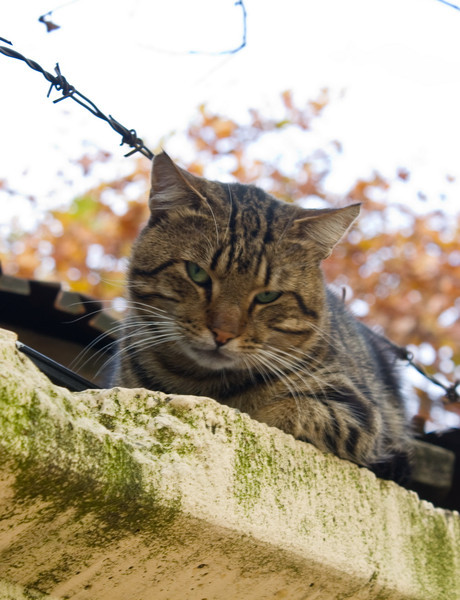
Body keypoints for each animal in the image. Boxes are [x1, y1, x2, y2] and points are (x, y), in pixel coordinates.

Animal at [113, 151, 412, 482]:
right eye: (197, 273)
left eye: (268, 296)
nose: (222, 334)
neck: (201, 383)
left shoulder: (358, 411)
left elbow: (286, 411)